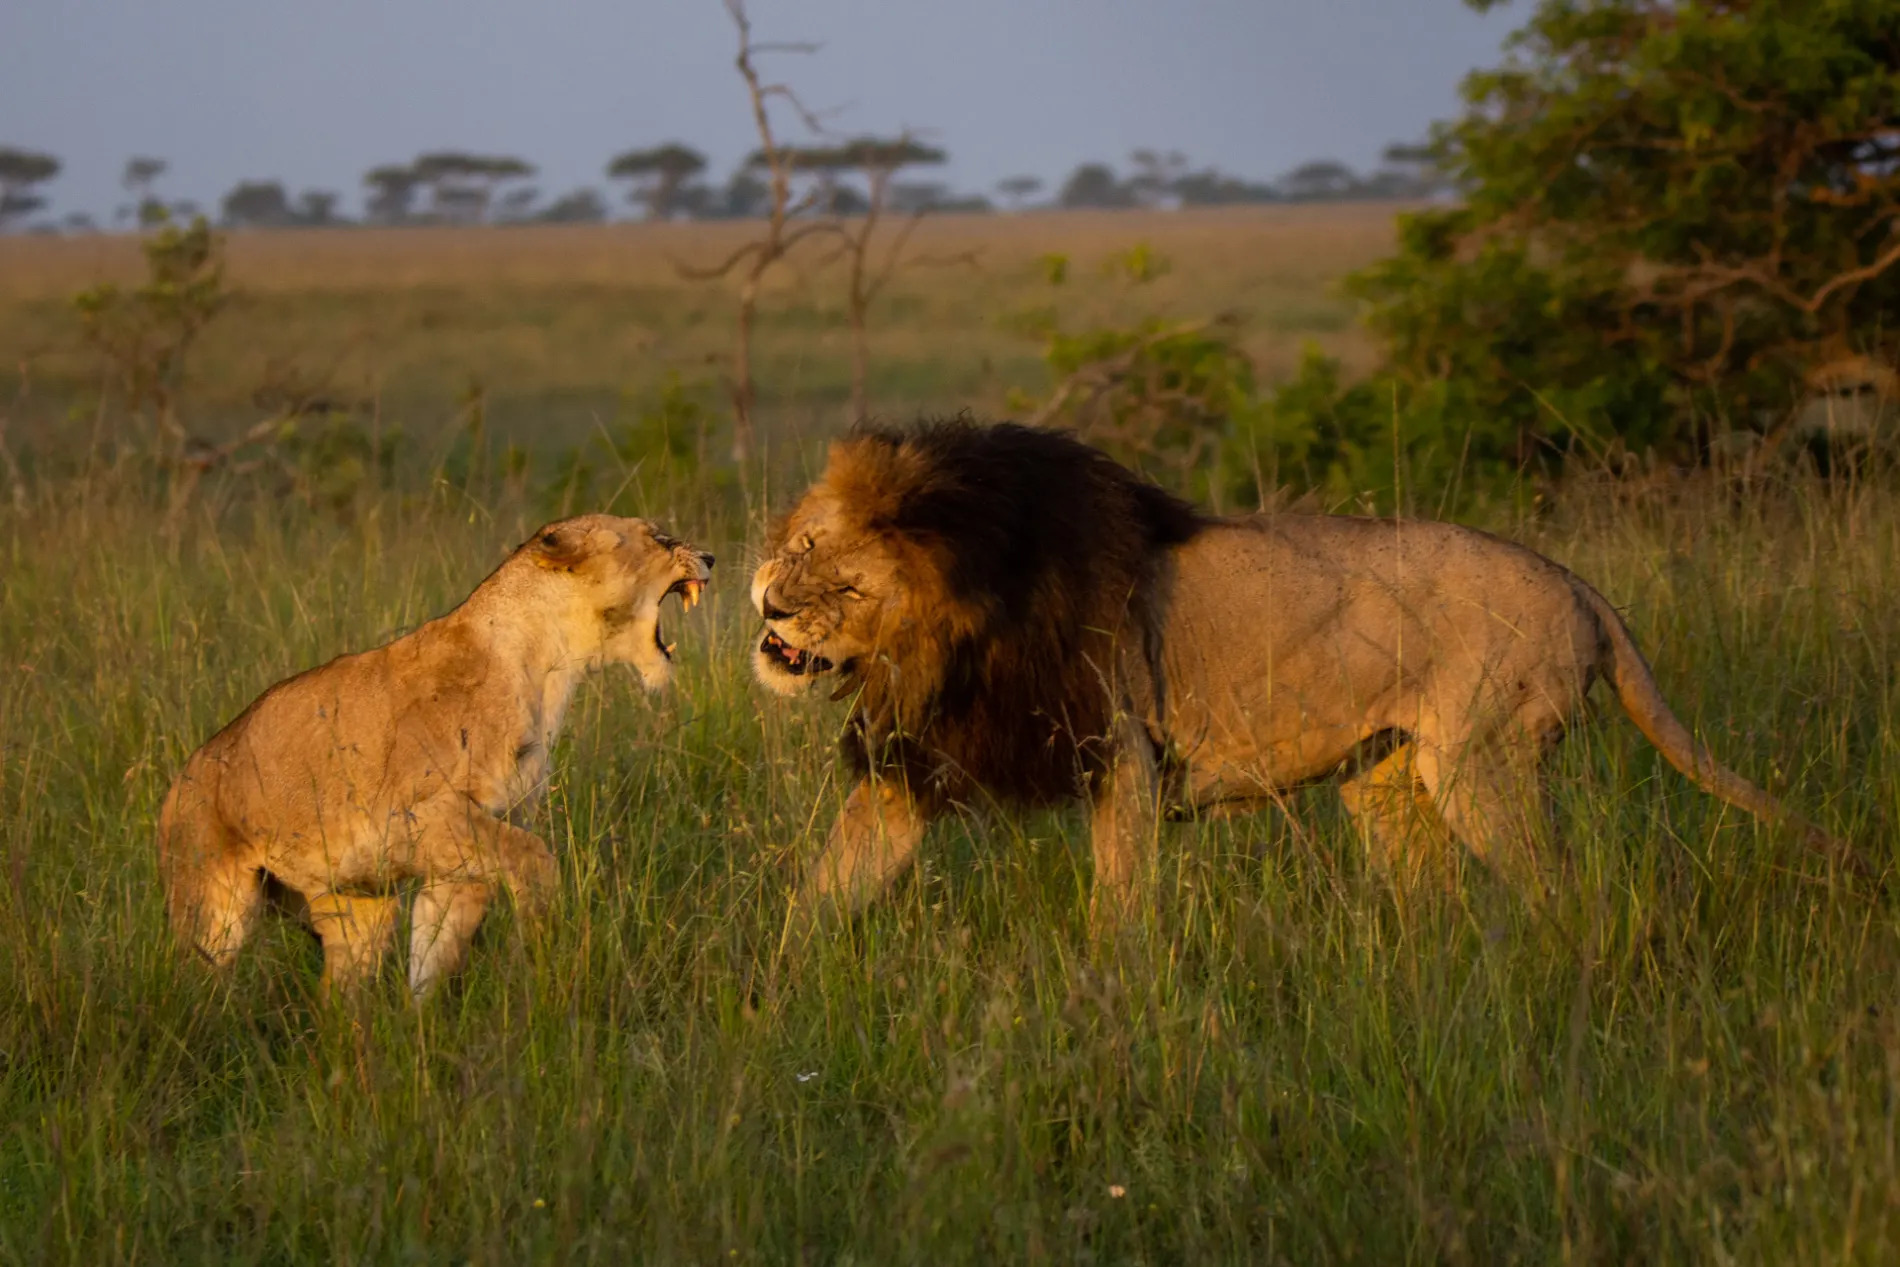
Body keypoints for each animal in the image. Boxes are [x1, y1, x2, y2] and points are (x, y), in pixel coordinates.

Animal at [157, 512, 714, 987]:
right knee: (195, 980)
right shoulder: (417, 817)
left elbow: (436, 956)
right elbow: (533, 855)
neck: (549, 664)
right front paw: (543, 946)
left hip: (358, 906)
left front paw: (422, 1030)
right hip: (214, 908)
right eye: (658, 537)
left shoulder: (461, 856)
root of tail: (178, 781)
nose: (710, 556)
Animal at [752, 423, 1854, 930]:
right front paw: (773, 991)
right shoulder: (912, 764)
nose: (763, 603)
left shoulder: (1122, 759)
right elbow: (826, 886)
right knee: (1438, 904)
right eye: (797, 542)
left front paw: (1107, 1005)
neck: (951, 628)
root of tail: (1582, 586)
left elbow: (1119, 906)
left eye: (839, 580)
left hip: (1482, 765)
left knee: (1561, 891)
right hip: (1390, 783)